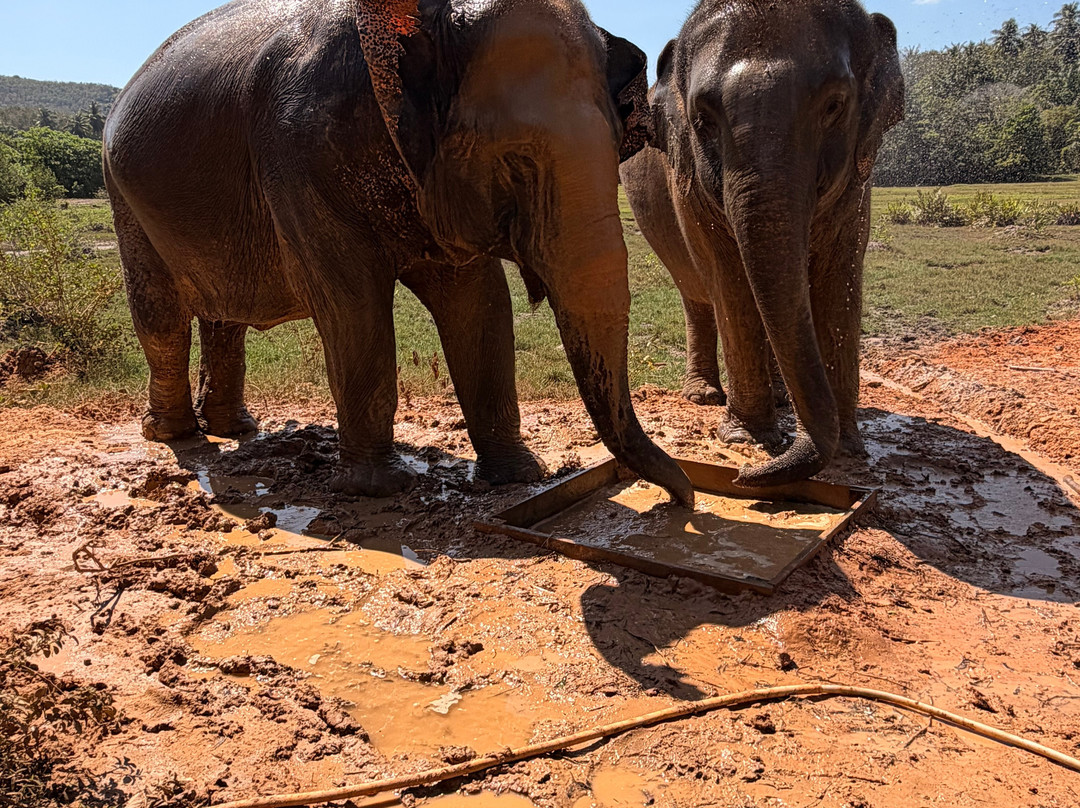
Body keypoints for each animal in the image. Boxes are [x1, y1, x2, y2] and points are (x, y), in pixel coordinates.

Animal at [104, 0, 693, 506]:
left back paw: (235, 429)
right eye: (515, 160)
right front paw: (373, 490)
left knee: (223, 314)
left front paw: (518, 478)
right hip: (124, 198)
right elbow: (352, 304)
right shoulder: (299, 150)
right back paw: (171, 434)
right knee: (160, 316)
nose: (681, 500)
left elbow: (479, 302)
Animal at [621, 0, 903, 488]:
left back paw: (784, 401)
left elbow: (838, 275)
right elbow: (729, 276)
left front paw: (848, 449)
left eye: (835, 105)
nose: (740, 477)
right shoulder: (688, 182)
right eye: (702, 120)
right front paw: (746, 440)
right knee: (697, 293)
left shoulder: (858, 180)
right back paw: (704, 397)